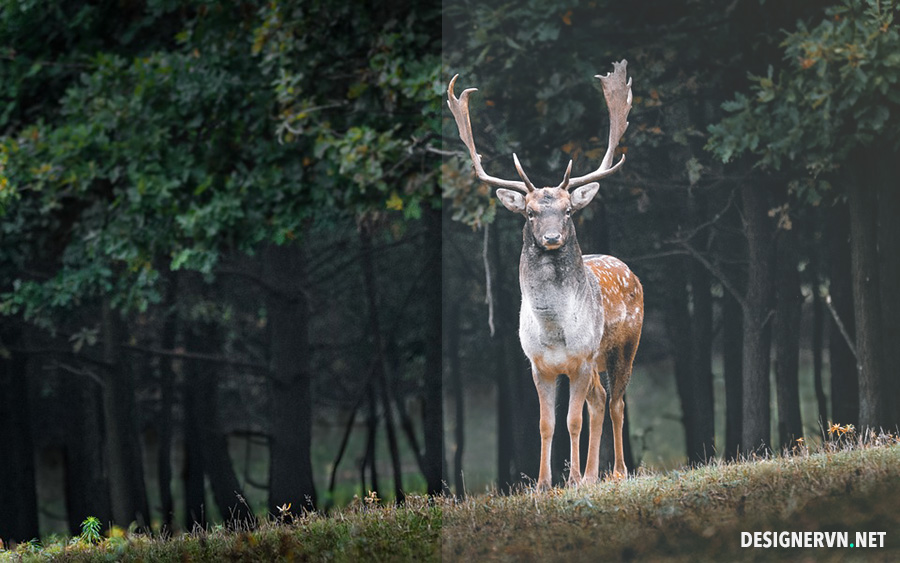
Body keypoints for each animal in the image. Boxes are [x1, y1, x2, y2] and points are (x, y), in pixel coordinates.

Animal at [448, 58, 644, 490]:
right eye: (530, 212)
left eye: (568, 210)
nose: (552, 237)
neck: (554, 331)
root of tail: (630, 271)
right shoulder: (538, 365)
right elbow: (545, 423)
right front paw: (543, 483)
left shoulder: (582, 359)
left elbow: (572, 421)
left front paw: (571, 479)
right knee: (600, 402)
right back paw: (593, 475)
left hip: (625, 347)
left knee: (617, 402)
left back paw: (617, 472)